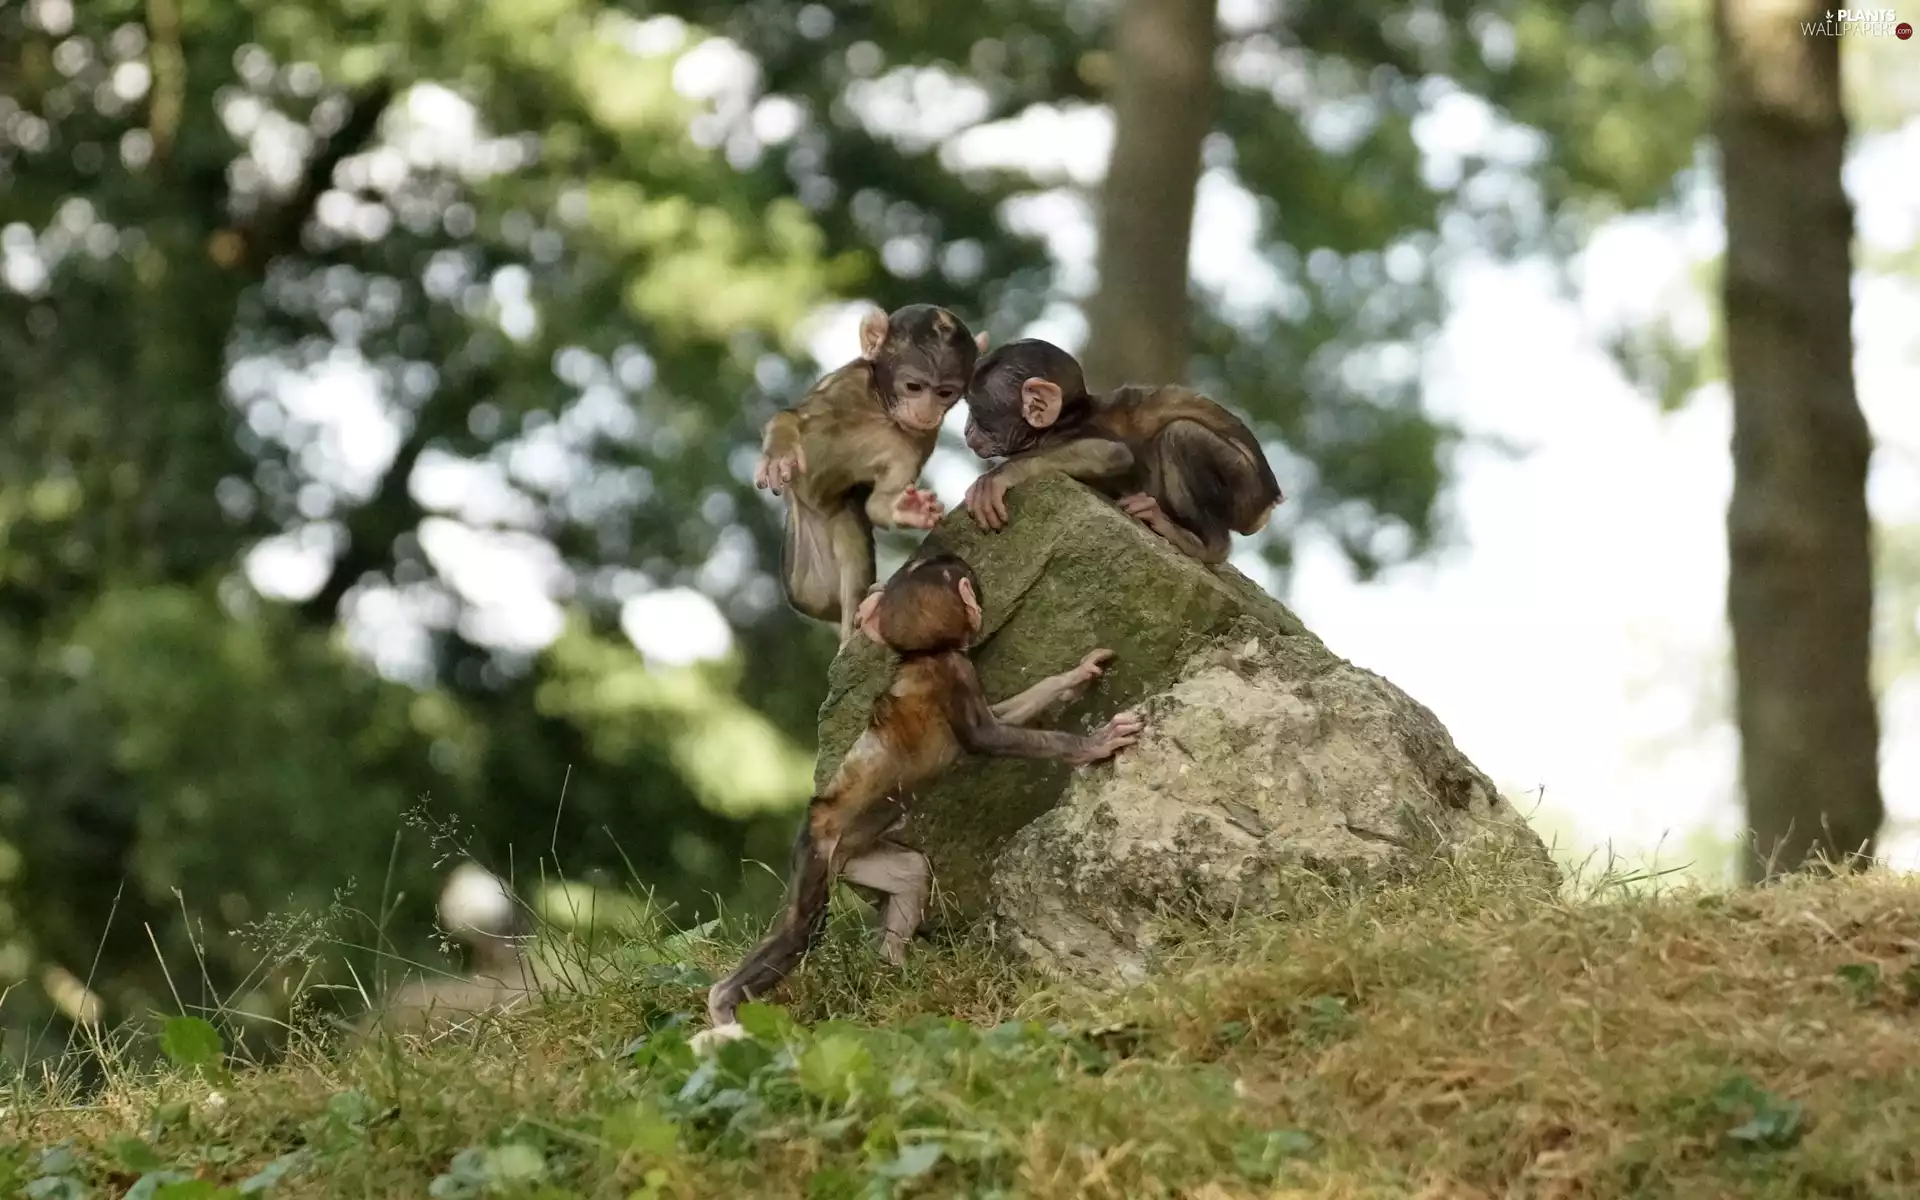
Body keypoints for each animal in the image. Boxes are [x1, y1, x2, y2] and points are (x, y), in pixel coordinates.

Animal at [697, 553, 1142, 1043]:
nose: (979, 605)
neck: (922, 654)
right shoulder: (952, 671)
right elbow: (987, 737)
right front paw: (1094, 745)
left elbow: (1003, 715)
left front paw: (1077, 674)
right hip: (817, 852)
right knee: (801, 932)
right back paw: (722, 1006)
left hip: (855, 859)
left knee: (911, 873)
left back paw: (892, 974)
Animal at [755, 304, 987, 644]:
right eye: (914, 387)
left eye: (945, 392)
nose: (927, 412)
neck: (881, 409)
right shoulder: (847, 384)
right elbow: (792, 418)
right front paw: (779, 451)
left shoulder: (918, 441)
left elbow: (878, 505)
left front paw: (909, 509)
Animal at [960, 339, 1284, 565]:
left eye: (977, 413)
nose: (966, 429)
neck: (1063, 420)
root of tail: (1267, 504)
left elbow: (1112, 453)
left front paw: (999, 477)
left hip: (1244, 489)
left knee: (1179, 433)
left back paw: (1205, 545)